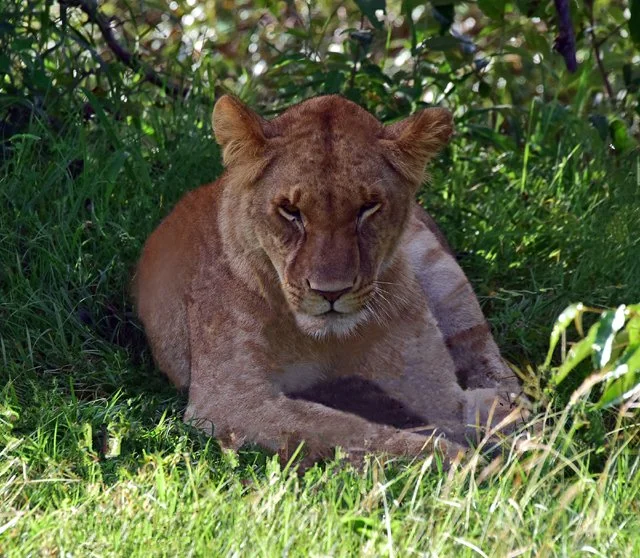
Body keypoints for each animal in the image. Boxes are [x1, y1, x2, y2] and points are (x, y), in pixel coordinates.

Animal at [133, 95, 524, 463]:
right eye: (290, 211)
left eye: (368, 208)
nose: (331, 292)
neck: (323, 342)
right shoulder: (230, 396)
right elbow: (345, 428)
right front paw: (457, 462)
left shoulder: (432, 385)